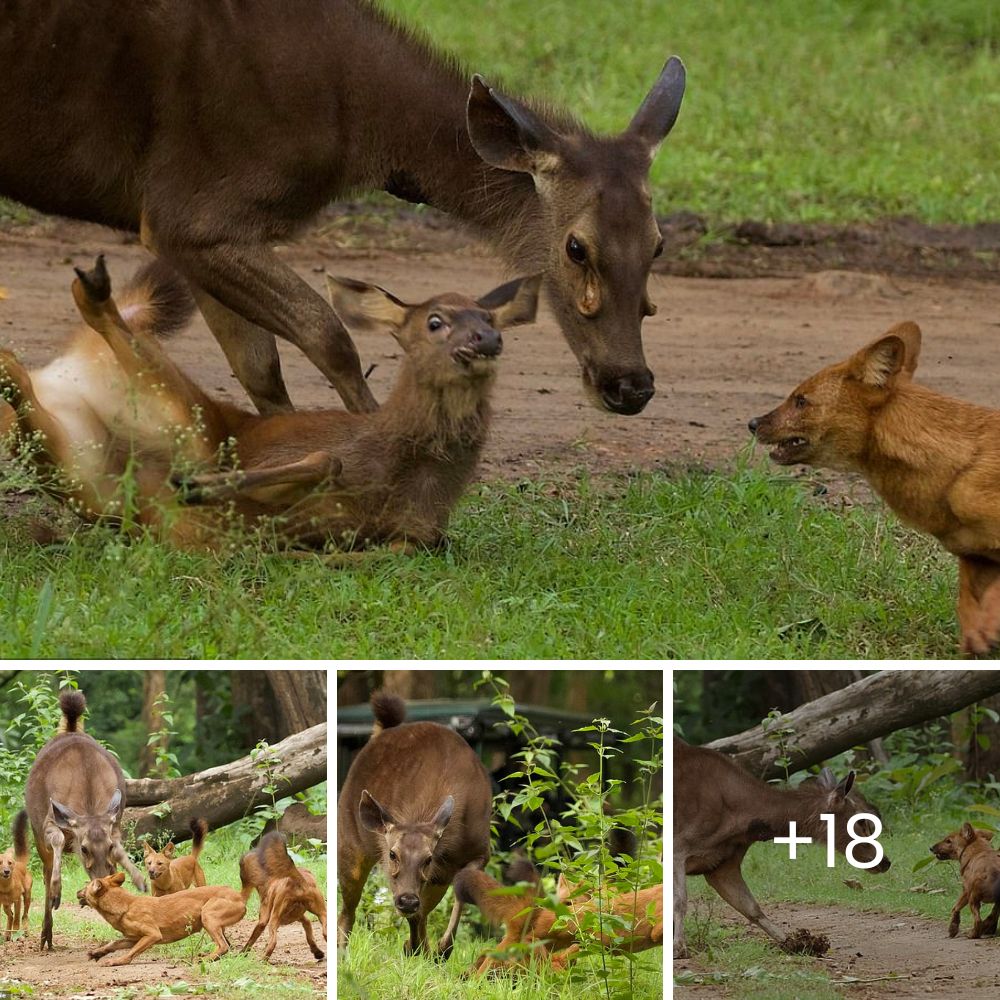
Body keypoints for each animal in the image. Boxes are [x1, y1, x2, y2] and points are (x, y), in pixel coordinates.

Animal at [0, 0, 680, 414]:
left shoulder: (189, 233)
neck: (357, 131)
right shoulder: (189, 214)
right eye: (576, 246)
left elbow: (261, 369)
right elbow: (330, 337)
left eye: (658, 244)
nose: (632, 384)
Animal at [25, 692, 146, 948]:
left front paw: (140, 879)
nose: (101, 882)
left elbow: (120, 849)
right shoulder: (50, 822)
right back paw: (46, 934)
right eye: (84, 848)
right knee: (46, 870)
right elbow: (59, 840)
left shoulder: (115, 821)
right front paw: (57, 893)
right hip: (36, 832)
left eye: (107, 847)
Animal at [338, 692, 490, 956]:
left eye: (428, 858)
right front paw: (418, 947)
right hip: (349, 844)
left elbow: (458, 897)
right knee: (348, 911)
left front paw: (441, 948)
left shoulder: (479, 851)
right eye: (392, 854)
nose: (407, 901)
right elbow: (417, 915)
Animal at [672, 736, 892, 960]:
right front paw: (678, 948)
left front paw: (796, 943)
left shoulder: (722, 866)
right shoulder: (678, 845)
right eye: (862, 821)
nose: (885, 862)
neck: (740, 819)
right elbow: (680, 901)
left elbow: (752, 908)